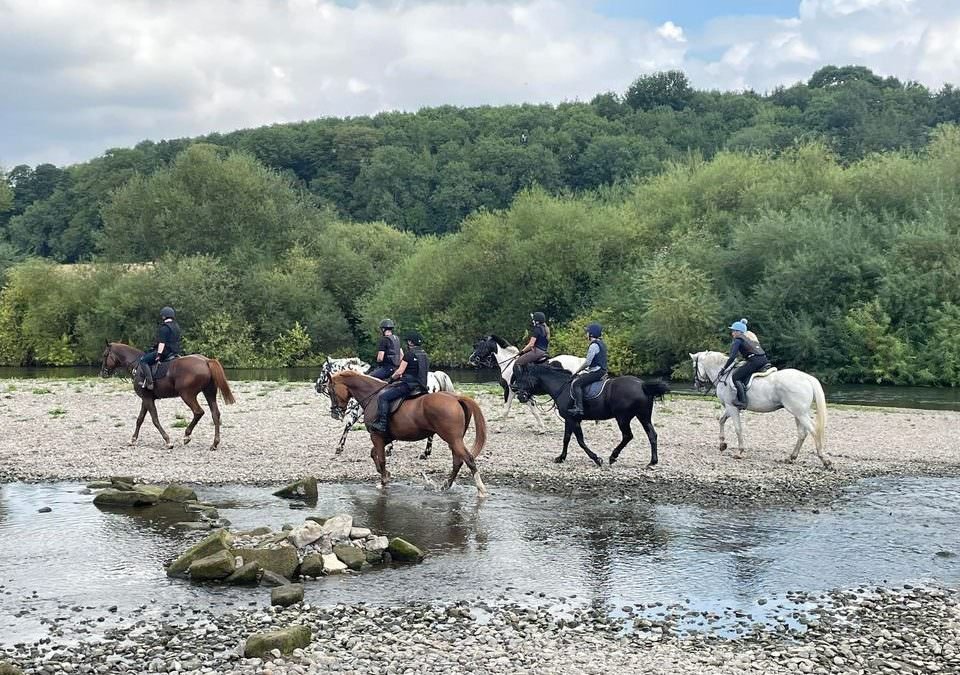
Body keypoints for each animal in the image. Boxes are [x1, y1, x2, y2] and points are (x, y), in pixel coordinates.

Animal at [100, 344, 236, 448]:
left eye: (105, 355)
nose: (102, 373)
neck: (137, 366)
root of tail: (206, 361)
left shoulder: (147, 399)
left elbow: (154, 419)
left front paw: (167, 440)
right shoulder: (146, 399)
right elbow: (140, 419)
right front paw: (133, 439)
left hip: (187, 395)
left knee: (198, 412)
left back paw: (187, 435)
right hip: (209, 393)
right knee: (215, 414)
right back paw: (214, 443)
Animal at [316, 354, 458, 460]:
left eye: (323, 370)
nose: (316, 386)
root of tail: (435, 375)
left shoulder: (357, 410)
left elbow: (348, 426)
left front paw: (339, 447)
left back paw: (426, 452)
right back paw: (426, 452)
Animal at [328, 370, 488, 496]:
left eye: (331, 391)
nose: (335, 413)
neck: (373, 397)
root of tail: (455, 397)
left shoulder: (377, 436)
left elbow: (381, 458)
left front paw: (383, 481)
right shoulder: (385, 437)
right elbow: (374, 454)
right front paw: (386, 474)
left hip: (453, 439)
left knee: (468, 459)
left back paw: (480, 489)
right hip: (454, 440)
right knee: (457, 461)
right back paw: (445, 485)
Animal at [510, 364, 668, 470]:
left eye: (523, 378)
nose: (520, 396)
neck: (562, 387)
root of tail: (642, 384)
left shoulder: (573, 420)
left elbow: (580, 441)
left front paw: (596, 459)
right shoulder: (569, 420)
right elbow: (566, 439)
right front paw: (561, 457)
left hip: (623, 418)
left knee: (627, 436)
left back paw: (613, 456)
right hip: (643, 416)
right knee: (652, 435)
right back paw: (652, 461)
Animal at [688, 352, 832, 468]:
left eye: (694, 367)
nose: (697, 384)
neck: (725, 376)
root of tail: (807, 378)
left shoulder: (731, 407)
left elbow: (737, 428)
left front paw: (740, 452)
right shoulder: (731, 407)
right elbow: (721, 420)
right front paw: (722, 444)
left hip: (799, 413)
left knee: (814, 430)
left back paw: (824, 460)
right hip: (799, 413)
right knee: (802, 433)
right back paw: (791, 457)